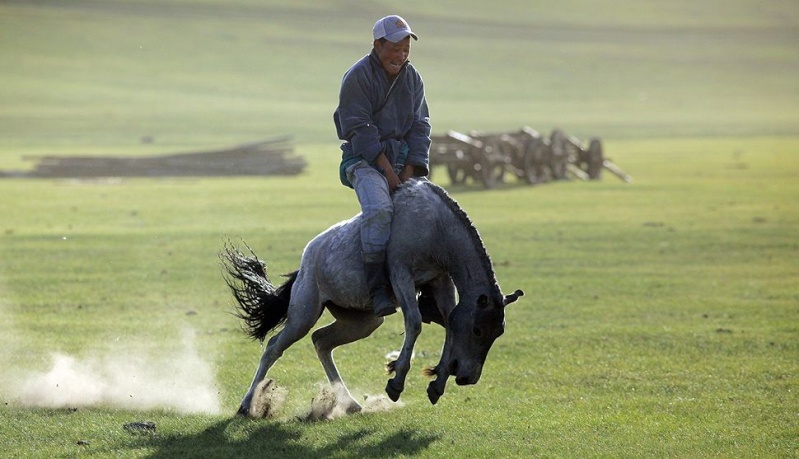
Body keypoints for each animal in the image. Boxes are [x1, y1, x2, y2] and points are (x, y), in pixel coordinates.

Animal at [223, 179, 524, 416]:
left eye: (498, 332)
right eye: (478, 330)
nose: (467, 378)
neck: (435, 226)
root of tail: (305, 262)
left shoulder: (440, 281)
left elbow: (450, 323)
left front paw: (436, 383)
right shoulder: (402, 274)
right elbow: (414, 322)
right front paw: (396, 381)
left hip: (362, 321)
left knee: (321, 341)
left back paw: (350, 403)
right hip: (303, 314)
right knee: (274, 347)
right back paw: (246, 405)